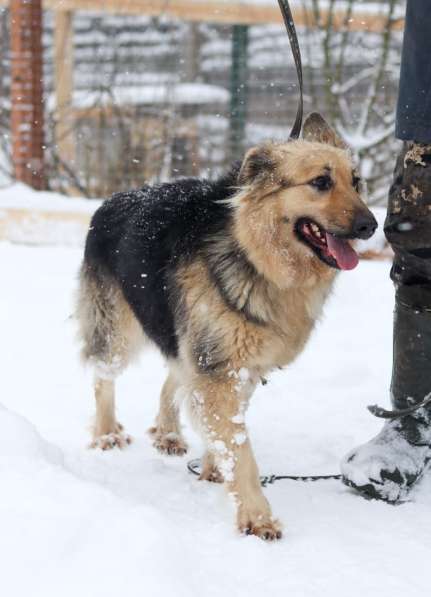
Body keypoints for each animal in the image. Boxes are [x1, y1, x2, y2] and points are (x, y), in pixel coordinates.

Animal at [77, 113, 378, 540]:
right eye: (321, 182)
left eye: (357, 182)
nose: (371, 226)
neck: (252, 251)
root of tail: (113, 198)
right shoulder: (219, 370)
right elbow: (240, 448)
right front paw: (257, 515)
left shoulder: (237, 366)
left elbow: (225, 432)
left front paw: (214, 470)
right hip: (118, 329)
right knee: (104, 378)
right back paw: (106, 433)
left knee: (172, 378)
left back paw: (169, 433)